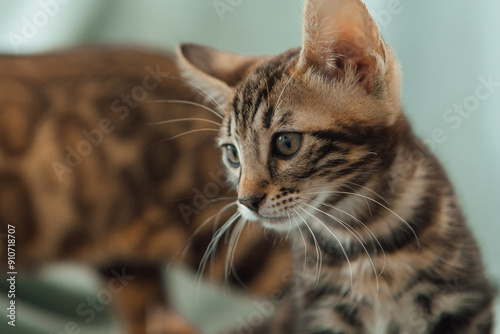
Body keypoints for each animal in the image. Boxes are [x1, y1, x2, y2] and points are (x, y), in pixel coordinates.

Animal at [178, 0, 494, 332]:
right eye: (232, 155)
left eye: (286, 143)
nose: (246, 201)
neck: (360, 236)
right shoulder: (320, 312)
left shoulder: (463, 300)